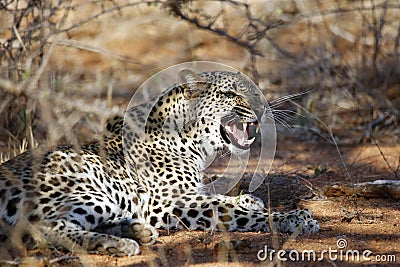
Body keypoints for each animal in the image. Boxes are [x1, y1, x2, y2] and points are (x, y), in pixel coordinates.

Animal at [0, 69, 318, 258]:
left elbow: (219, 196)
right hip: (88, 193)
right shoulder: (169, 201)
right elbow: (226, 209)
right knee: (39, 229)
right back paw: (123, 243)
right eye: (230, 94)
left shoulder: (189, 193)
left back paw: (135, 230)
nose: (263, 108)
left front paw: (250, 200)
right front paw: (294, 218)